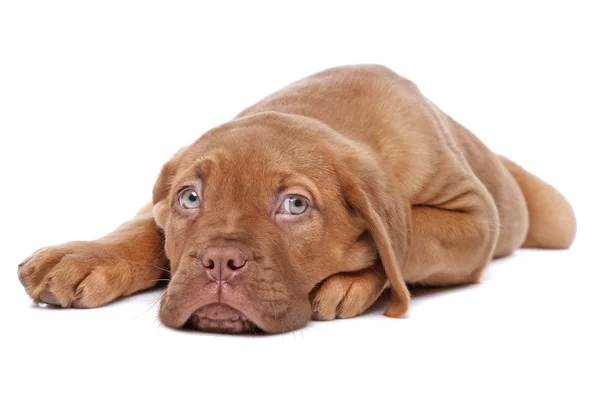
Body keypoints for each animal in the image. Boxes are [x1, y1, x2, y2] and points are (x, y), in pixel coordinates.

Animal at [16, 65, 576, 334]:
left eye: (296, 206)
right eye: (190, 198)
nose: (219, 262)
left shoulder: (475, 219)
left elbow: (406, 237)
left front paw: (351, 282)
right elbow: (143, 228)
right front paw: (83, 257)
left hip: (554, 216)